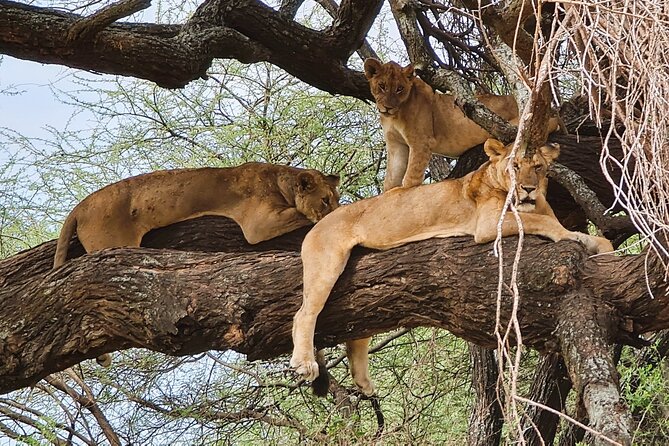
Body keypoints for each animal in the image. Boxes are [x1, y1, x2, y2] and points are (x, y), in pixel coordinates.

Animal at [53, 162, 340, 367]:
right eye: (325, 199)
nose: (334, 209)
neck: (281, 180)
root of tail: (80, 206)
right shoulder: (258, 224)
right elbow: (301, 215)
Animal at [290, 139, 612, 396]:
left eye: (539, 167)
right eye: (514, 166)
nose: (529, 189)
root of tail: (317, 223)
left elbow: (594, 237)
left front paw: (603, 248)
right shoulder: (488, 224)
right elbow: (544, 222)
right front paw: (573, 236)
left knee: (357, 326)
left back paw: (363, 381)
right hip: (327, 262)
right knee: (304, 313)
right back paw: (304, 363)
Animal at [363, 58, 559, 191]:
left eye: (399, 89)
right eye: (382, 86)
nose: (388, 107)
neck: (394, 116)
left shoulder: (421, 142)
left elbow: (410, 178)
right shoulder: (396, 144)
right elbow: (391, 179)